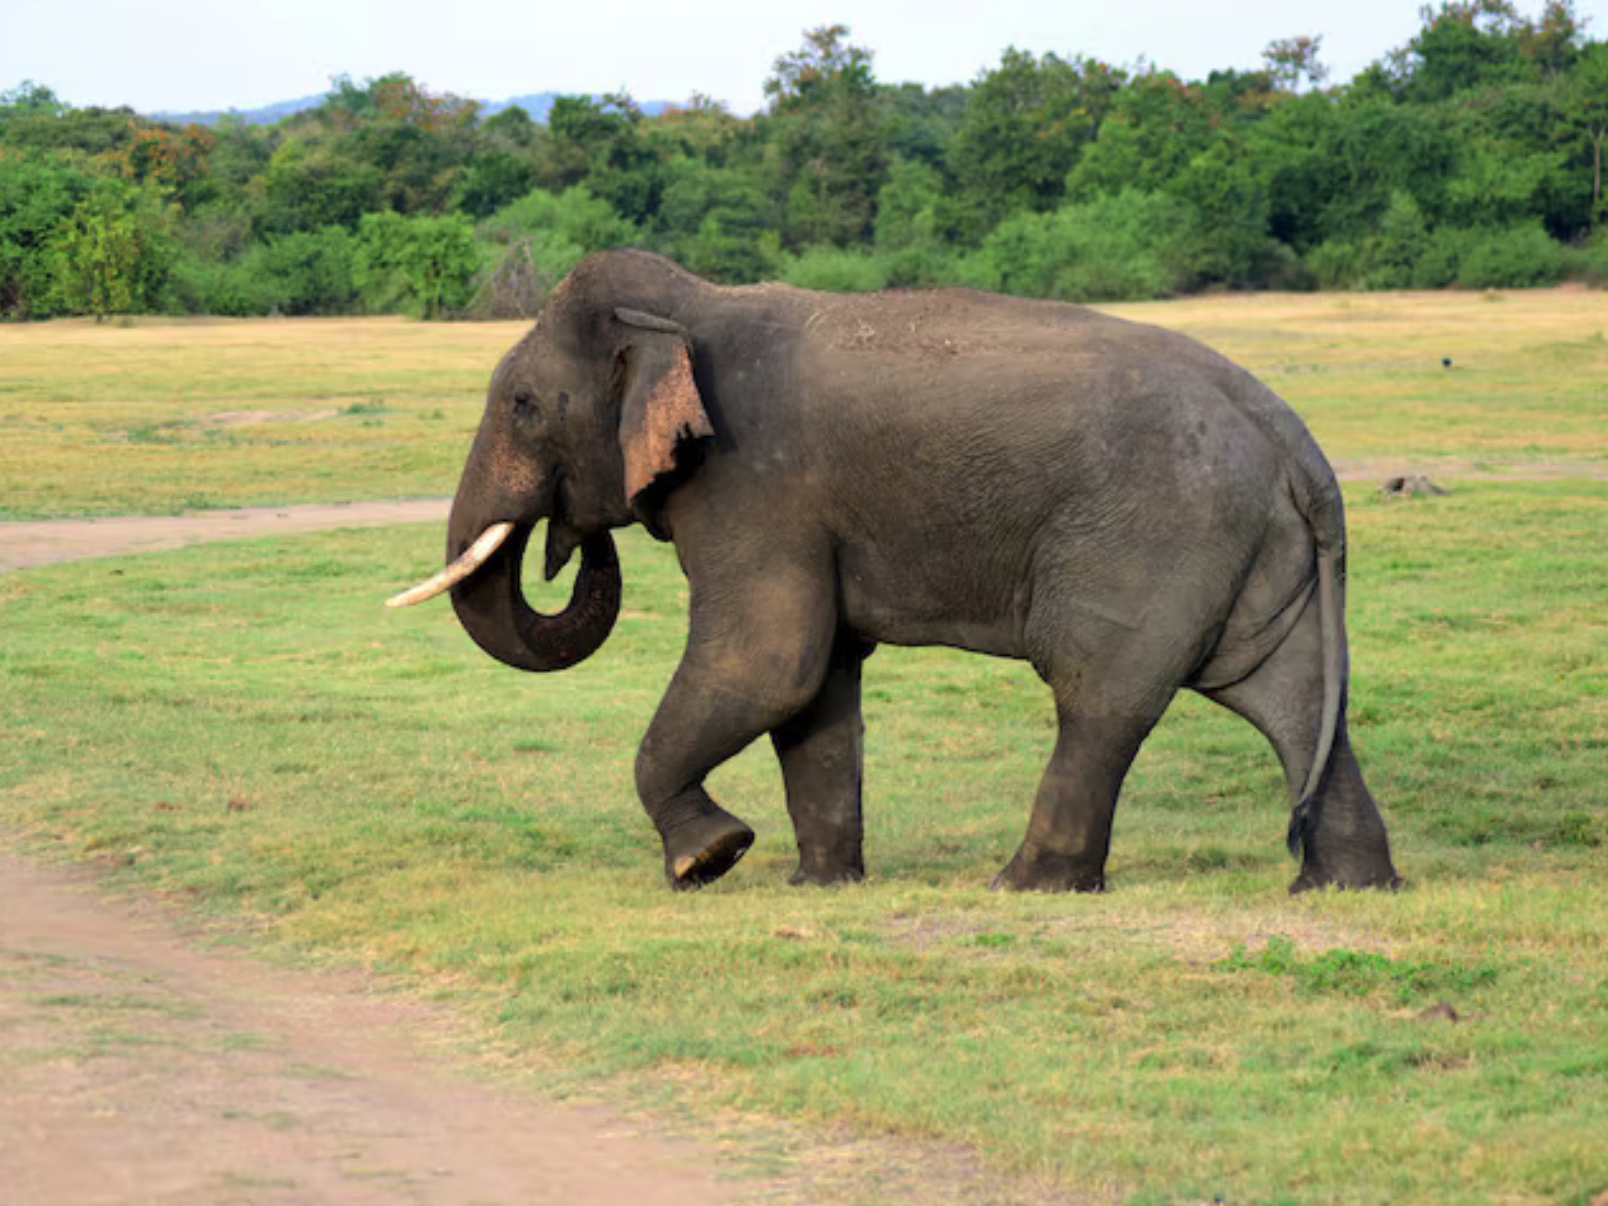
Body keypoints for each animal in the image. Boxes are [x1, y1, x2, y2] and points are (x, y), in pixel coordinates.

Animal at [390, 249, 1401, 895]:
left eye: (524, 405)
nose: (566, 538)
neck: (691, 303)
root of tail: (1296, 443)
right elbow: (815, 684)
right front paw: (821, 884)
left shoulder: (757, 485)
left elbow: (769, 662)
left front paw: (709, 861)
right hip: (1252, 548)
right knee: (1293, 697)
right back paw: (1344, 888)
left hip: (1153, 538)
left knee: (1100, 696)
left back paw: (1024, 886)